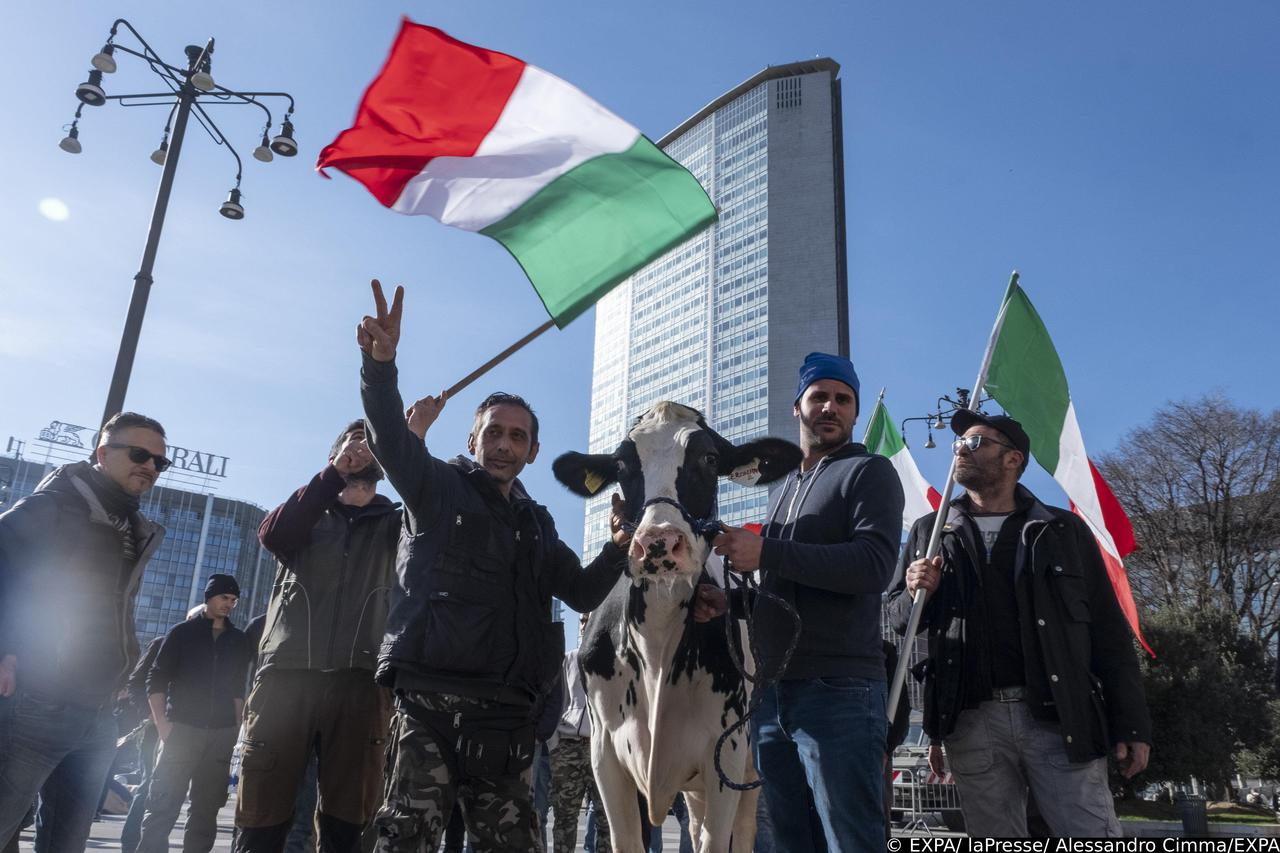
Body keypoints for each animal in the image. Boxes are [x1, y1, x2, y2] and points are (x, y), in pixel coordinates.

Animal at [552, 399, 798, 850]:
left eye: (710, 458)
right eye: (622, 463)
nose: (659, 542)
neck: (656, 649)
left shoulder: (726, 752)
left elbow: (718, 841)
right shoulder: (605, 755)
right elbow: (627, 840)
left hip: (747, 767)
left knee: (741, 829)